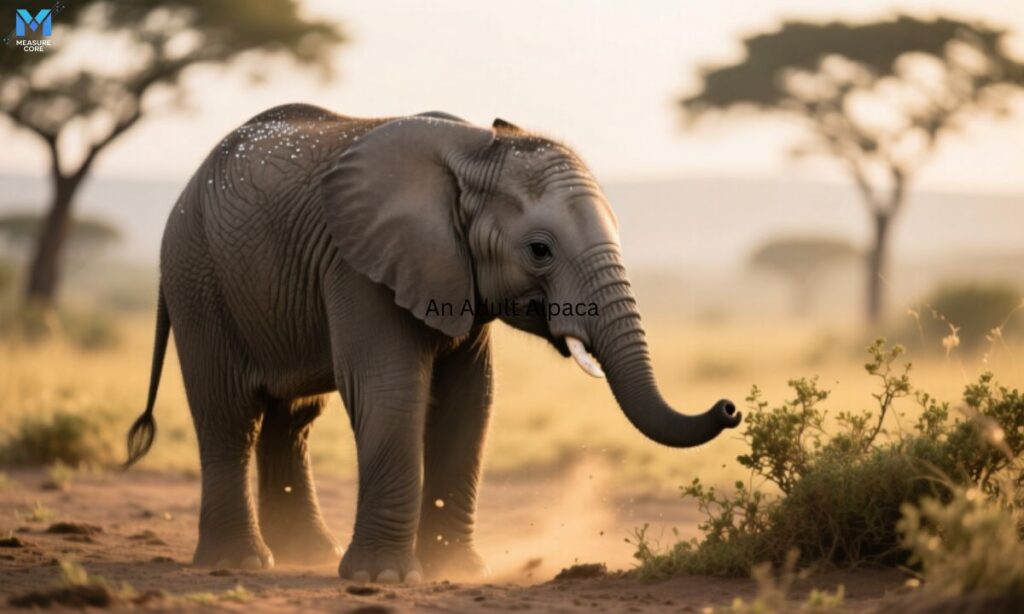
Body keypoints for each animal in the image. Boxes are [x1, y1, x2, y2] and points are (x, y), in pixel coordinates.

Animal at [123, 104, 741, 583]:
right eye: (539, 250)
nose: (730, 406)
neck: (473, 152)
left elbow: (471, 399)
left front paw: (458, 571)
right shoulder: (358, 266)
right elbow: (391, 389)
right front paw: (384, 577)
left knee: (291, 419)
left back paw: (308, 555)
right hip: (197, 276)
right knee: (230, 413)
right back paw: (239, 564)